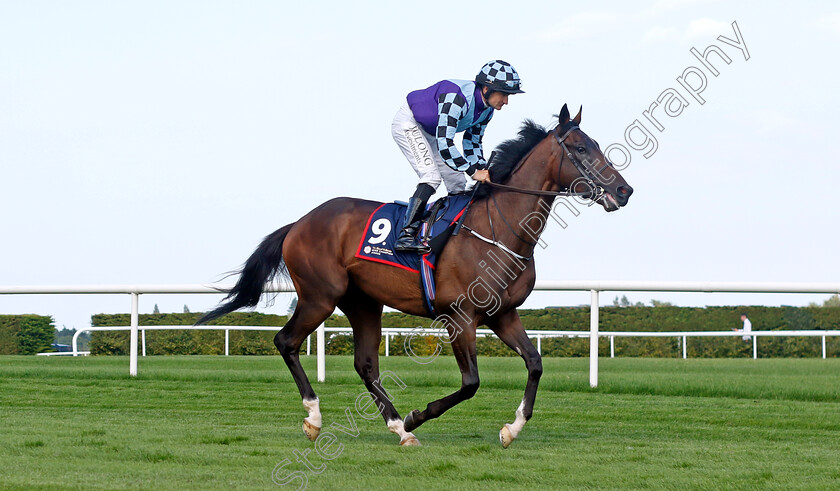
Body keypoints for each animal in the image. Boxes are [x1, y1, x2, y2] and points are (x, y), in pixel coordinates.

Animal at [197, 104, 632, 450]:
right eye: (580, 148)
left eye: (596, 144)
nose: (624, 191)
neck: (499, 230)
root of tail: (300, 223)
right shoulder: (460, 317)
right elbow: (471, 383)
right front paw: (417, 415)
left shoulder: (503, 315)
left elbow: (536, 363)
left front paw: (511, 429)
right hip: (321, 296)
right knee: (286, 341)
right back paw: (317, 419)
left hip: (363, 302)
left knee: (366, 364)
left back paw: (397, 429)